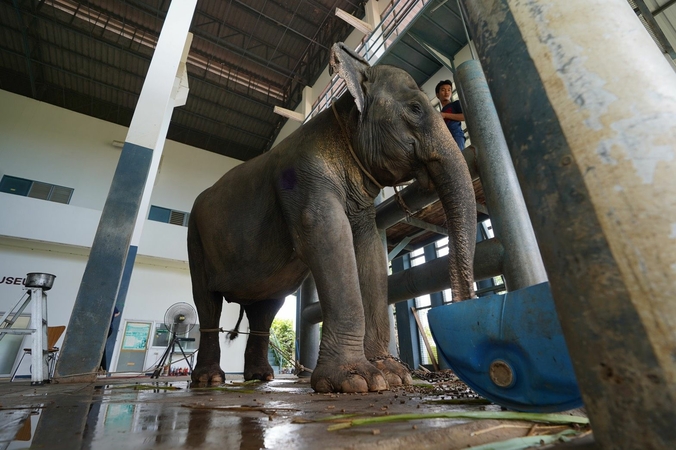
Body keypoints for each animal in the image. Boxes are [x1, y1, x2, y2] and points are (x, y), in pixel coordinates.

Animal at [188, 42, 477, 393]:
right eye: (416, 109)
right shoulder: (304, 175)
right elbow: (328, 238)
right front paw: (357, 380)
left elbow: (369, 250)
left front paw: (393, 376)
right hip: (195, 236)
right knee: (207, 302)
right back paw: (210, 380)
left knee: (266, 308)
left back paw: (260, 377)